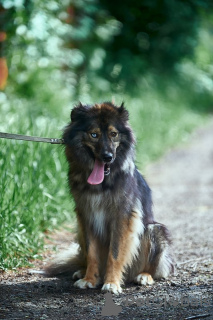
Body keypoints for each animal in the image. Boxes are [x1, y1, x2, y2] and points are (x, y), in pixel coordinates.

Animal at [45, 102, 174, 292]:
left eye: (114, 134)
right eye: (94, 134)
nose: (108, 157)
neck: (102, 183)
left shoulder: (122, 217)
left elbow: (116, 253)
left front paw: (112, 283)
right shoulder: (86, 216)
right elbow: (92, 253)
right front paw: (89, 279)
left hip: (154, 230)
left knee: (156, 268)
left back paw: (144, 275)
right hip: (79, 230)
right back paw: (81, 271)